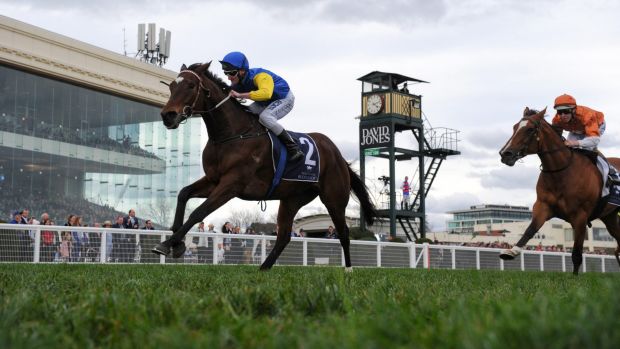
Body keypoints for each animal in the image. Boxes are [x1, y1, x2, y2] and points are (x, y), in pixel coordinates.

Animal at [154, 62, 378, 270]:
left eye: (191, 85)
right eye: (172, 86)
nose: (167, 115)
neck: (231, 135)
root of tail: (339, 156)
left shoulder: (231, 184)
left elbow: (199, 212)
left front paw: (166, 244)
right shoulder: (213, 179)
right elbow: (183, 194)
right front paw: (176, 244)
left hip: (333, 199)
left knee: (343, 233)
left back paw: (348, 270)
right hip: (292, 199)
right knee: (284, 236)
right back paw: (263, 268)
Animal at [498, 106, 620, 272]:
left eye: (530, 129)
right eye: (515, 127)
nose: (505, 154)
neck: (561, 172)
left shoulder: (580, 217)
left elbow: (577, 254)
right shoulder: (543, 206)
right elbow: (530, 230)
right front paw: (511, 251)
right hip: (610, 216)